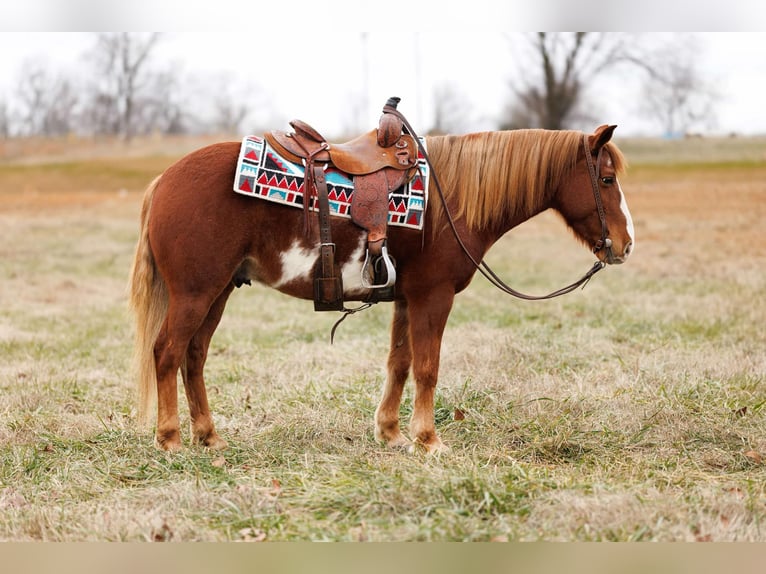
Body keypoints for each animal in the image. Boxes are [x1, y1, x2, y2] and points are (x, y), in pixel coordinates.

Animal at [128, 123, 634, 453]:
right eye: (606, 179)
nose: (625, 245)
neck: (450, 201)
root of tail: (163, 180)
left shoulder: (407, 299)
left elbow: (400, 363)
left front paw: (390, 431)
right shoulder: (434, 296)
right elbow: (428, 368)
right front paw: (428, 440)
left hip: (218, 291)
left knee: (194, 357)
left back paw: (209, 435)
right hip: (195, 293)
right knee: (167, 353)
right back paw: (170, 439)